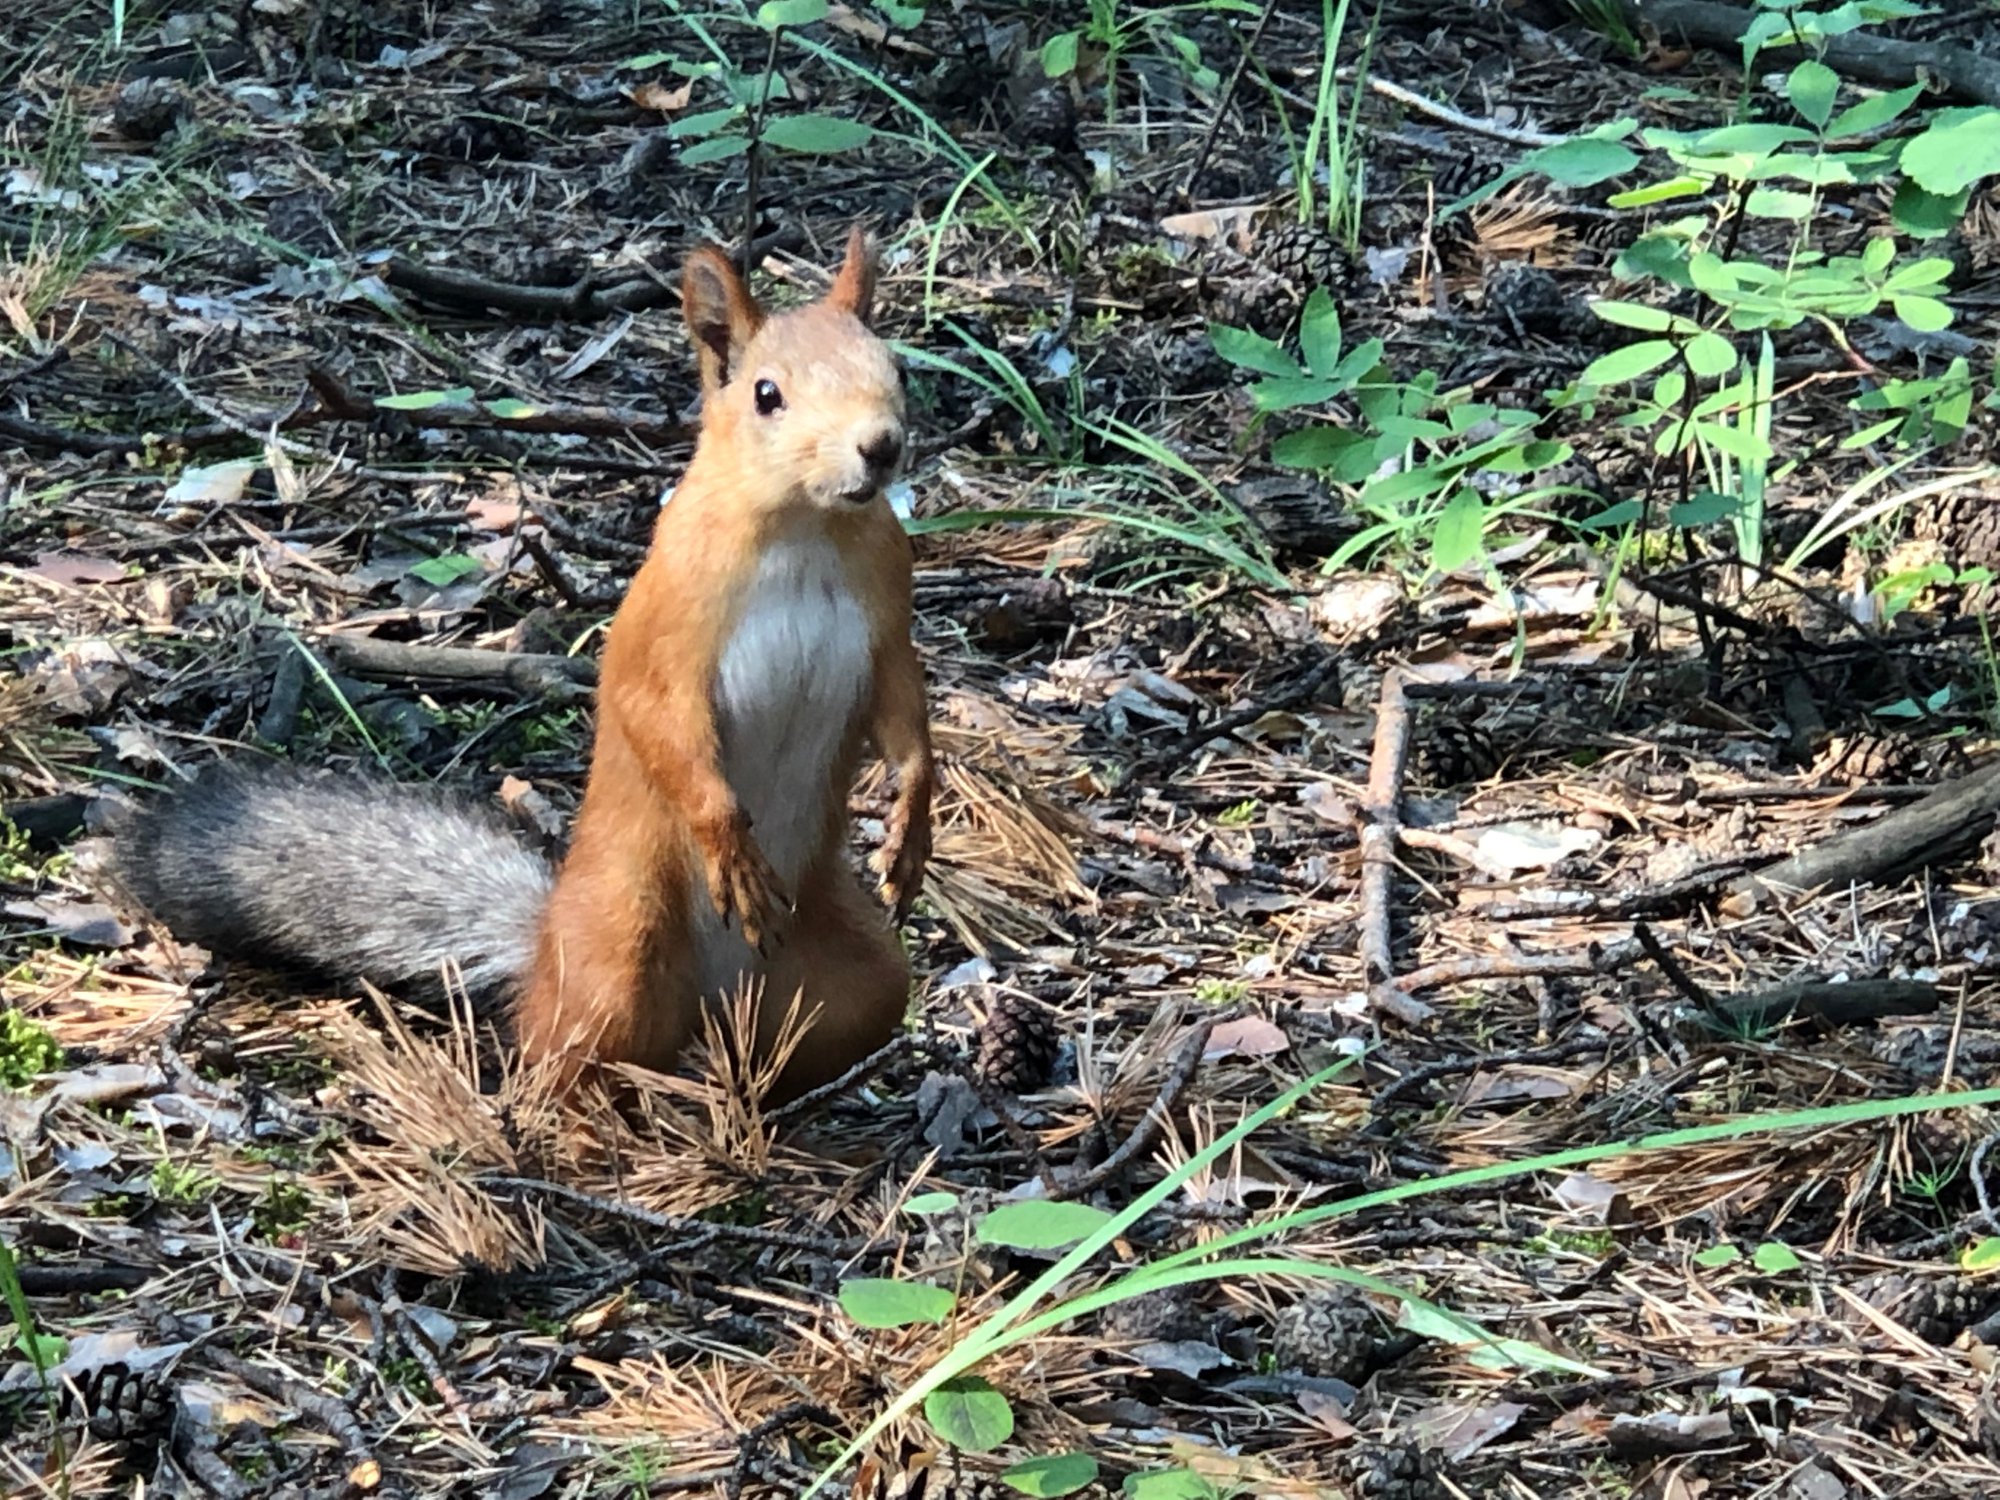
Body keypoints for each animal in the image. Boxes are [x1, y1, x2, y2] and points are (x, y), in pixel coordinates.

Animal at [113, 232, 940, 1104]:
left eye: (896, 366)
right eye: (767, 394)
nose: (880, 446)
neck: (808, 530)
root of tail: (544, 945)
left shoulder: (886, 620)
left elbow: (905, 715)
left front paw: (910, 829)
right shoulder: (669, 626)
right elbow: (662, 723)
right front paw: (732, 847)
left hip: (859, 977)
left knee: (779, 1037)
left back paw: (744, 1092)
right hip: (619, 946)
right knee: (563, 1050)